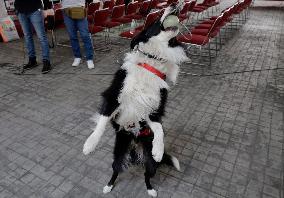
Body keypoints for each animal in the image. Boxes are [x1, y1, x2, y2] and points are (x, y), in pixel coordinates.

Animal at [82, 2, 189, 197]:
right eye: (155, 17)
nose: (173, 4)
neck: (153, 61)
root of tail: (135, 147)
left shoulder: (153, 108)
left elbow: (159, 129)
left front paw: (158, 149)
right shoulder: (114, 95)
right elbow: (102, 121)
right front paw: (90, 144)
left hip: (151, 166)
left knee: (147, 175)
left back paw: (151, 189)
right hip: (118, 154)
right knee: (115, 171)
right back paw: (108, 186)